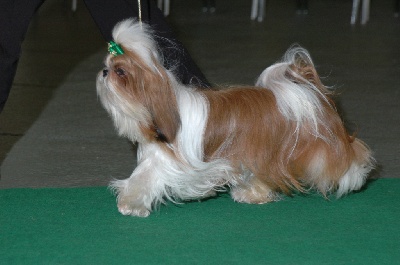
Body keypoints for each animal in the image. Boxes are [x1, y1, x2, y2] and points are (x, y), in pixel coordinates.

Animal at [97, 19, 376, 217]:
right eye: (108, 65)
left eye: (120, 71)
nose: (103, 72)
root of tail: (307, 91)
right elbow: (143, 176)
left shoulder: (170, 162)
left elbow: (146, 178)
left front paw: (131, 204)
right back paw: (253, 194)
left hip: (319, 144)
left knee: (348, 154)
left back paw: (354, 177)